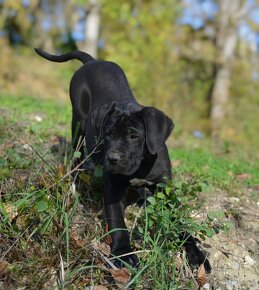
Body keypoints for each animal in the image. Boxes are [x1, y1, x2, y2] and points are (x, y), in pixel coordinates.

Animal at [34, 48, 212, 274]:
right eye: (108, 134)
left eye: (134, 136)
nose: (112, 159)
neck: (141, 167)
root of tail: (92, 61)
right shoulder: (113, 189)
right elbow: (118, 223)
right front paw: (124, 253)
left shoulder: (165, 190)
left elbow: (179, 222)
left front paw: (197, 254)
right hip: (78, 123)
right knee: (76, 158)